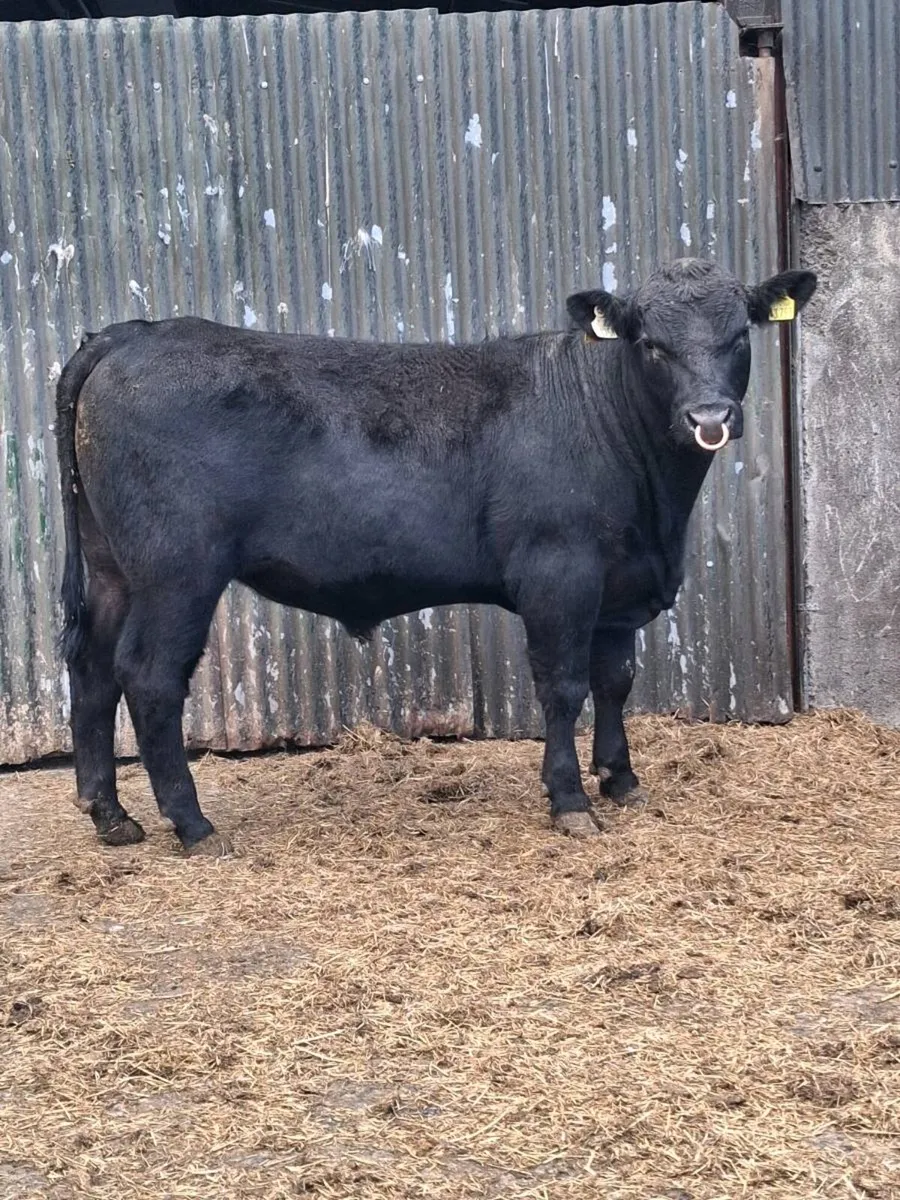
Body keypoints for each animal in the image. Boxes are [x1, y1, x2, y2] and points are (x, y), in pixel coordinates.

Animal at [54, 258, 816, 856]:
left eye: (739, 335)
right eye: (651, 343)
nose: (710, 418)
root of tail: (135, 333)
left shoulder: (619, 589)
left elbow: (615, 680)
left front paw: (621, 779)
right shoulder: (560, 573)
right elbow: (564, 686)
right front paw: (570, 801)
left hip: (112, 565)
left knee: (91, 666)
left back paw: (110, 816)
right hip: (176, 570)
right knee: (149, 676)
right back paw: (192, 825)